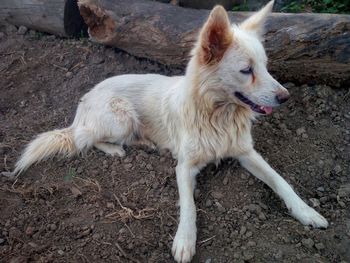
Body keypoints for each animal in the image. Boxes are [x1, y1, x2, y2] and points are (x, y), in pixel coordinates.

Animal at [10, 1, 328, 262]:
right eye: (246, 70)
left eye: (264, 66)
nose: (286, 97)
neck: (217, 115)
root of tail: (85, 100)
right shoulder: (184, 166)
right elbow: (189, 205)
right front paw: (184, 241)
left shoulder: (246, 152)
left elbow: (281, 181)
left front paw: (307, 212)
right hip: (121, 118)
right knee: (84, 138)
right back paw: (116, 149)